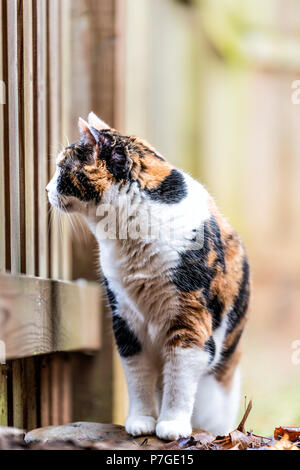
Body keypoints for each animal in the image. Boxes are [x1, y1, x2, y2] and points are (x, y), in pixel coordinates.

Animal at [46, 111, 248, 440]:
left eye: (63, 168)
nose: (46, 190)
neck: (130, 235)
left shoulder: (189, 319)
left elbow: (179, 380)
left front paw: (172, 425)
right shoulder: (126, 321)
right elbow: (137, 377)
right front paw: (141, 421)